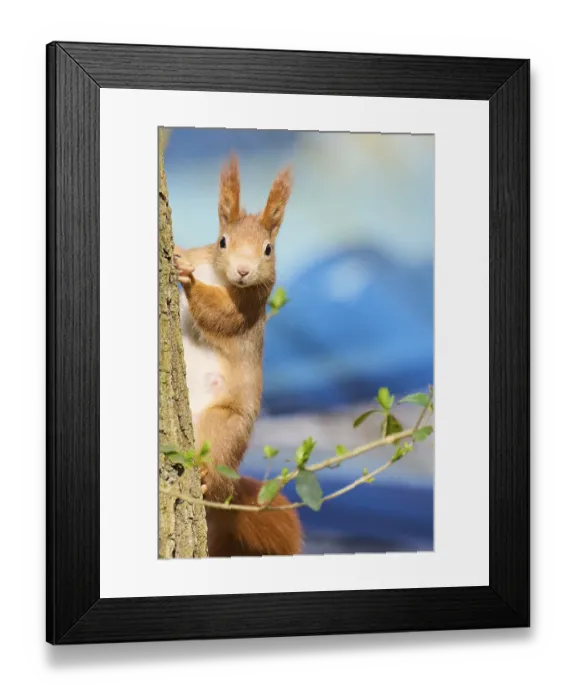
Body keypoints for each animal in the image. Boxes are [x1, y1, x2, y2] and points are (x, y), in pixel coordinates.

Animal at [173, 154, 302, 558]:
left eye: (268, 249)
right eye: (222, 241)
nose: (244, 270)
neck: (217, 274)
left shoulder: (248, 307)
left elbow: (220, 314)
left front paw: (189, 282)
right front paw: (177, 254)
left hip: (224, 429)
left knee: (217, 474)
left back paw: (205, 482)